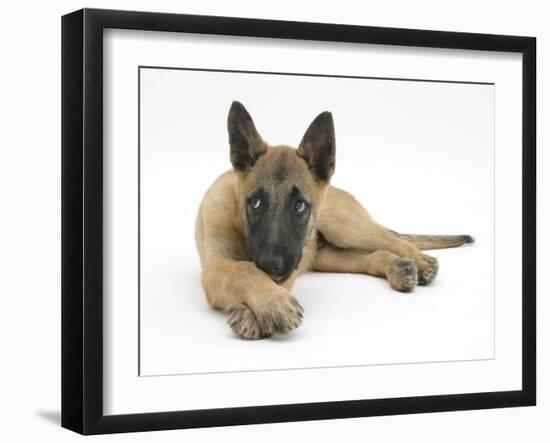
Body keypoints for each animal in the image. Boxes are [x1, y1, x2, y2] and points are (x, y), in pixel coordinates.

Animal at [195, 101, 474, 340]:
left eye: (299, 206)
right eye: (254, 203)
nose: (271, 265)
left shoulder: (288, 266)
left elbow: (249, 270)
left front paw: (262, 308)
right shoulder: (215, 268)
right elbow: (245, 270)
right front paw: (269, 303)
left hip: (345, 227)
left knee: (393, 240)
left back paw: (422, 261)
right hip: (326, 256)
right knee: (372, 256)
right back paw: (397, 268)